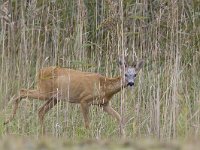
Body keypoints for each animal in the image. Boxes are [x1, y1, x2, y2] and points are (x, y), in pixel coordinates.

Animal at [3, 58, 144, 134]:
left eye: (135, 74)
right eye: (125, 74)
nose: (131, 83)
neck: (103, 86)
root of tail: (40, 71)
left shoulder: (104, 104)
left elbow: (120, 117)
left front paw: (124, 135)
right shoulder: (84, 100)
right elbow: (87, 124)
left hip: (54, 98)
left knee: (40, 110)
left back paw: (43, 133)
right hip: (44, 91)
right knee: (22, 91)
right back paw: (7, 120)